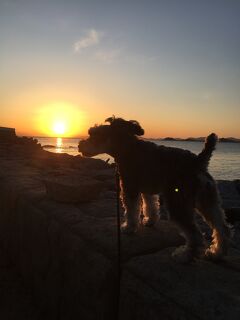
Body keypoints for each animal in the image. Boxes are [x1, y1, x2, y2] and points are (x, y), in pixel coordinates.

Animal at [78, 116, 230, 262]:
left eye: (94, 134)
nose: (79, 146)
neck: (127, 148)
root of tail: (198, 162)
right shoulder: (147, 189)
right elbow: (150, 206)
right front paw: (150, 221)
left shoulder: (129, 188)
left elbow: (131, 210)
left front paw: (128, 227)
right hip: (208, 201)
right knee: (222, 227)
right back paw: (216, 253)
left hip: (178, 203)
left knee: (195, 234)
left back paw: (185, 255)